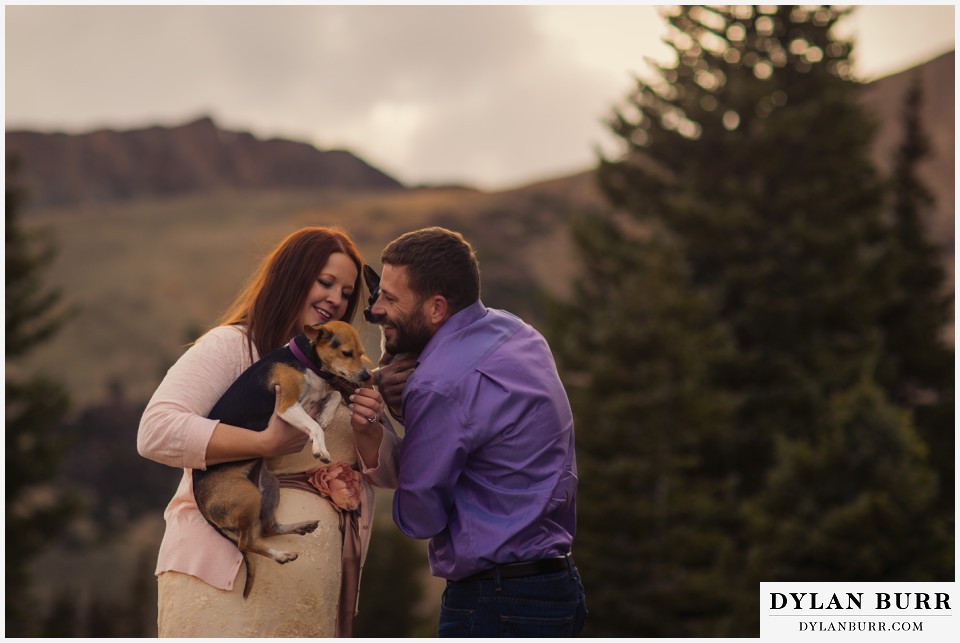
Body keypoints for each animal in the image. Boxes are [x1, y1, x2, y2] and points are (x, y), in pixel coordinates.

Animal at [194, 322, 372, 600]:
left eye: (362, 352)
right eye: (346, 353)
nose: (366, 377)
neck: (305, 362)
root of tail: (199, 496)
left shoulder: (315, 397)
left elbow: (331, 398)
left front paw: (326, 416)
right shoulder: (287, 406)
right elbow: (314, 426)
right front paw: (320, 448)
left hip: (268, 488)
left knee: (268, 528)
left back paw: (300, 530)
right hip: (248, 495)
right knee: (248, 541)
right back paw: (282, 555)